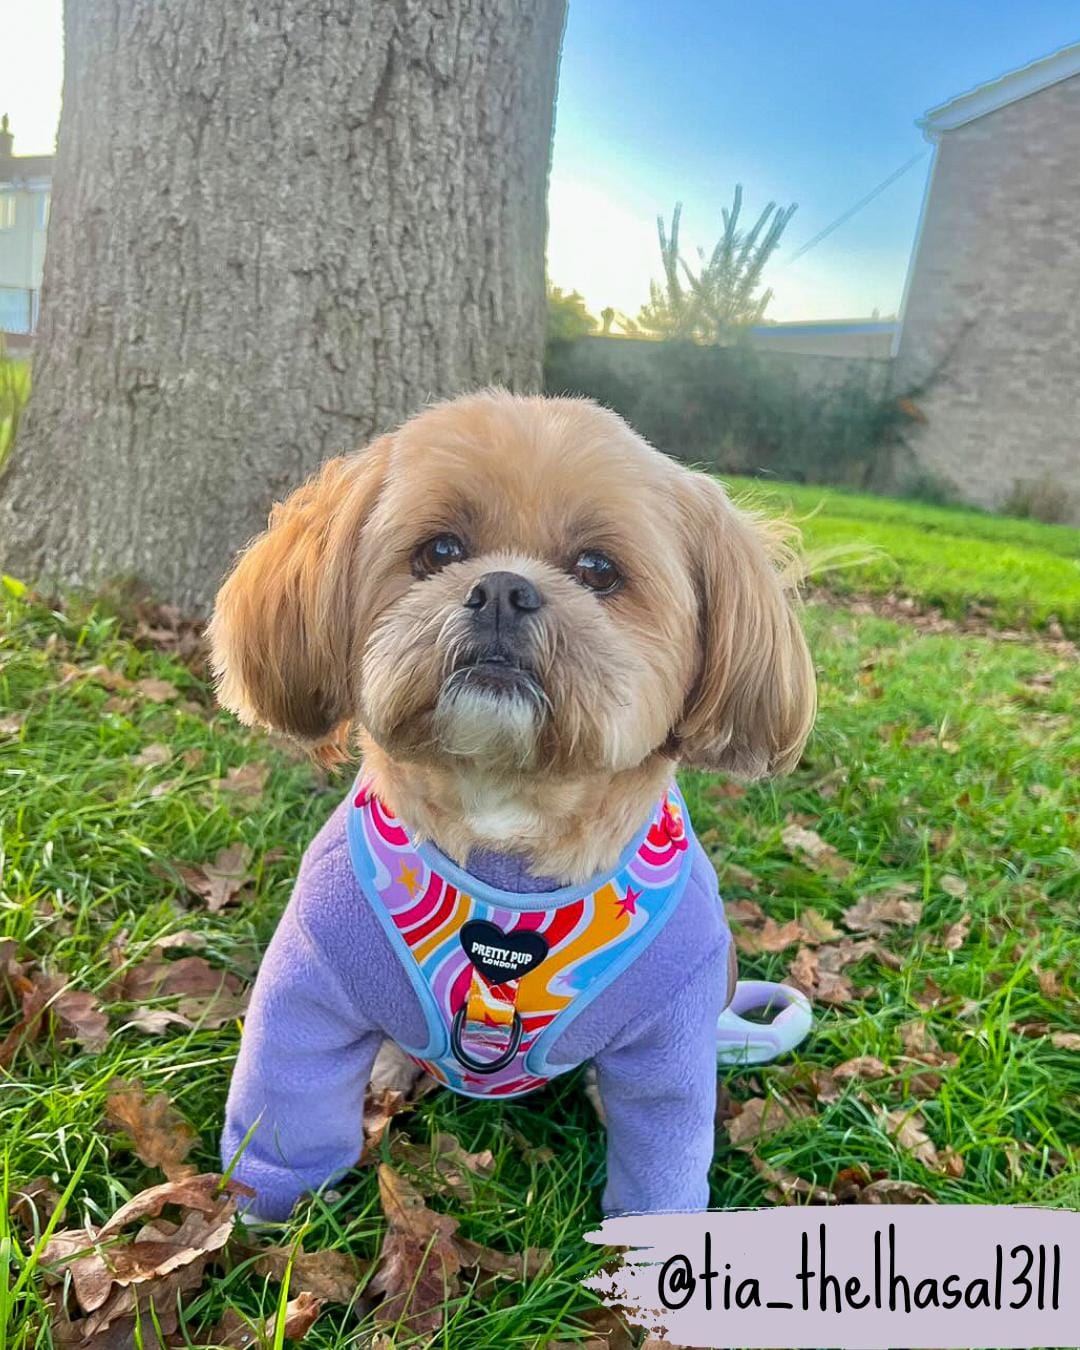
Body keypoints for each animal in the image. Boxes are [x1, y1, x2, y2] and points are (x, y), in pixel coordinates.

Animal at [209, 391, 810, 1225]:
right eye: (439, 551)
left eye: (597, 569)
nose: (501, 589)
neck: (505, 828)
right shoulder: (309, 986)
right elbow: (285, 1103)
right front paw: (267, 1212)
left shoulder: (670, 1036)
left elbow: (664, 1151)